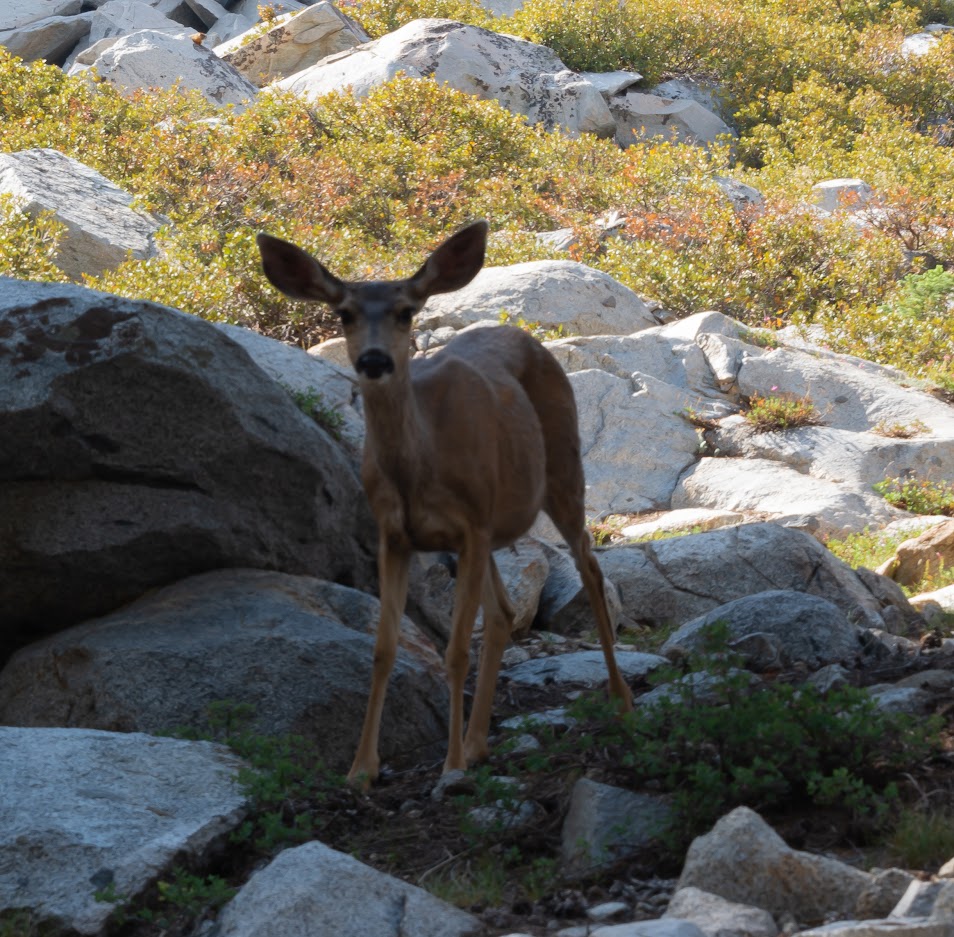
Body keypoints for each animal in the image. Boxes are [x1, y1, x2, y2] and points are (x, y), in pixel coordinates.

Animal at [256, 223, 632, 788]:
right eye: (343, 313)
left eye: (406, 311)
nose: (374, 361)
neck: (419, 468)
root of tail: (526, 336)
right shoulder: (398, 536)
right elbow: (384, 649)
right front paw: (361, 769)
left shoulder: (469, 527)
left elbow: (455, 651)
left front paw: (449, 767)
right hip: (494, 524)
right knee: (503, 613)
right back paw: (478, 743)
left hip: (563, 471)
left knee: (588, 562)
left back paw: (619, 697)